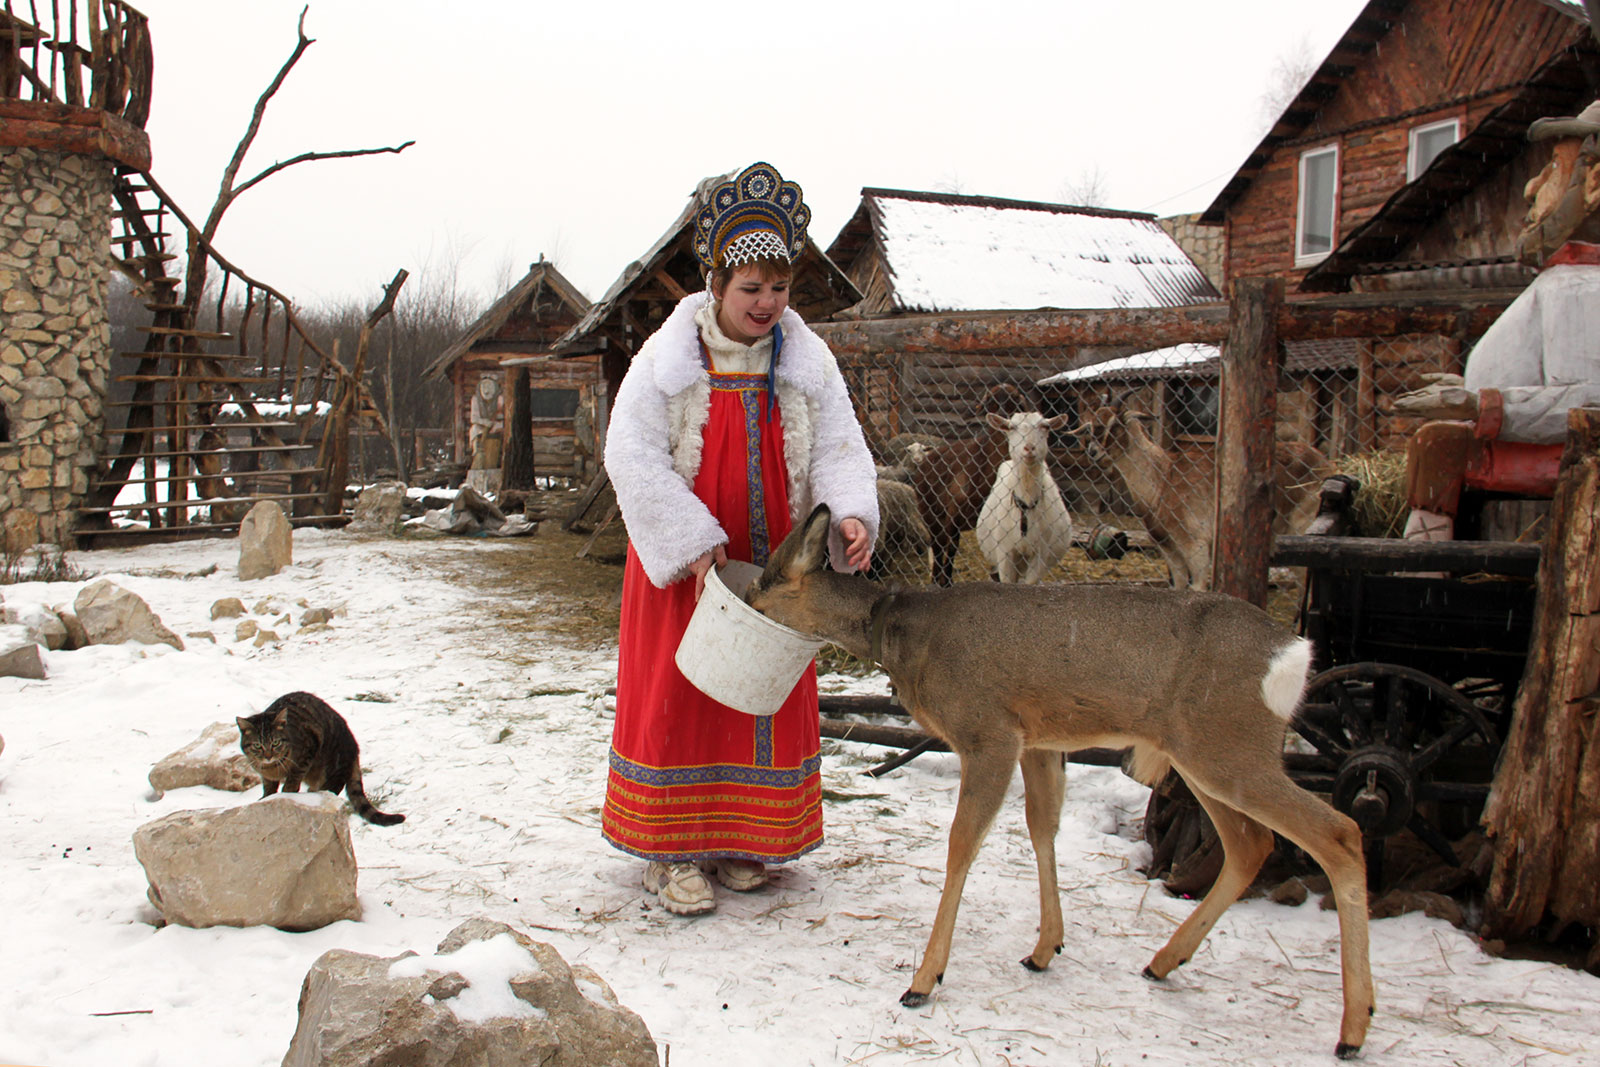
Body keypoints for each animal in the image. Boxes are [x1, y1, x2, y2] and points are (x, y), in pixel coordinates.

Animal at [241, 687, 409, 831]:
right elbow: (268, 788)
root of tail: (355, 748)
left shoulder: (310, 745)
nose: (268, 756)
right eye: (257, 745)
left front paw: (287, 791)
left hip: (334, 768)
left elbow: (293, 777)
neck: (273, 768)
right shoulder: (266, 776)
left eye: (275, 743)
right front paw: (266, 798)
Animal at [748, 505, 1376, 1055]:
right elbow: (1041, 828)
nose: (743, 600)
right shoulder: (1041, 740)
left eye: (763, 583)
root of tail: (1293, 654)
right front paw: (1044, 948)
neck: (907, 641)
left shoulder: (989, 731)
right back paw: (1163, 962)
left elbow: (961, 845)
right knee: (1251, 844)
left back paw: (1353, 1028)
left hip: (1229, 748)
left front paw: (923, 979)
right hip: (1207, 754)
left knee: (1340, 834)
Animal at [972, 415, 1075, 585]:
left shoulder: (1040, 553)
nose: (1029, 448)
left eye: (1045, 427)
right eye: (1011, 427)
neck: (1025, 504)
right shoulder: (1005, 551)